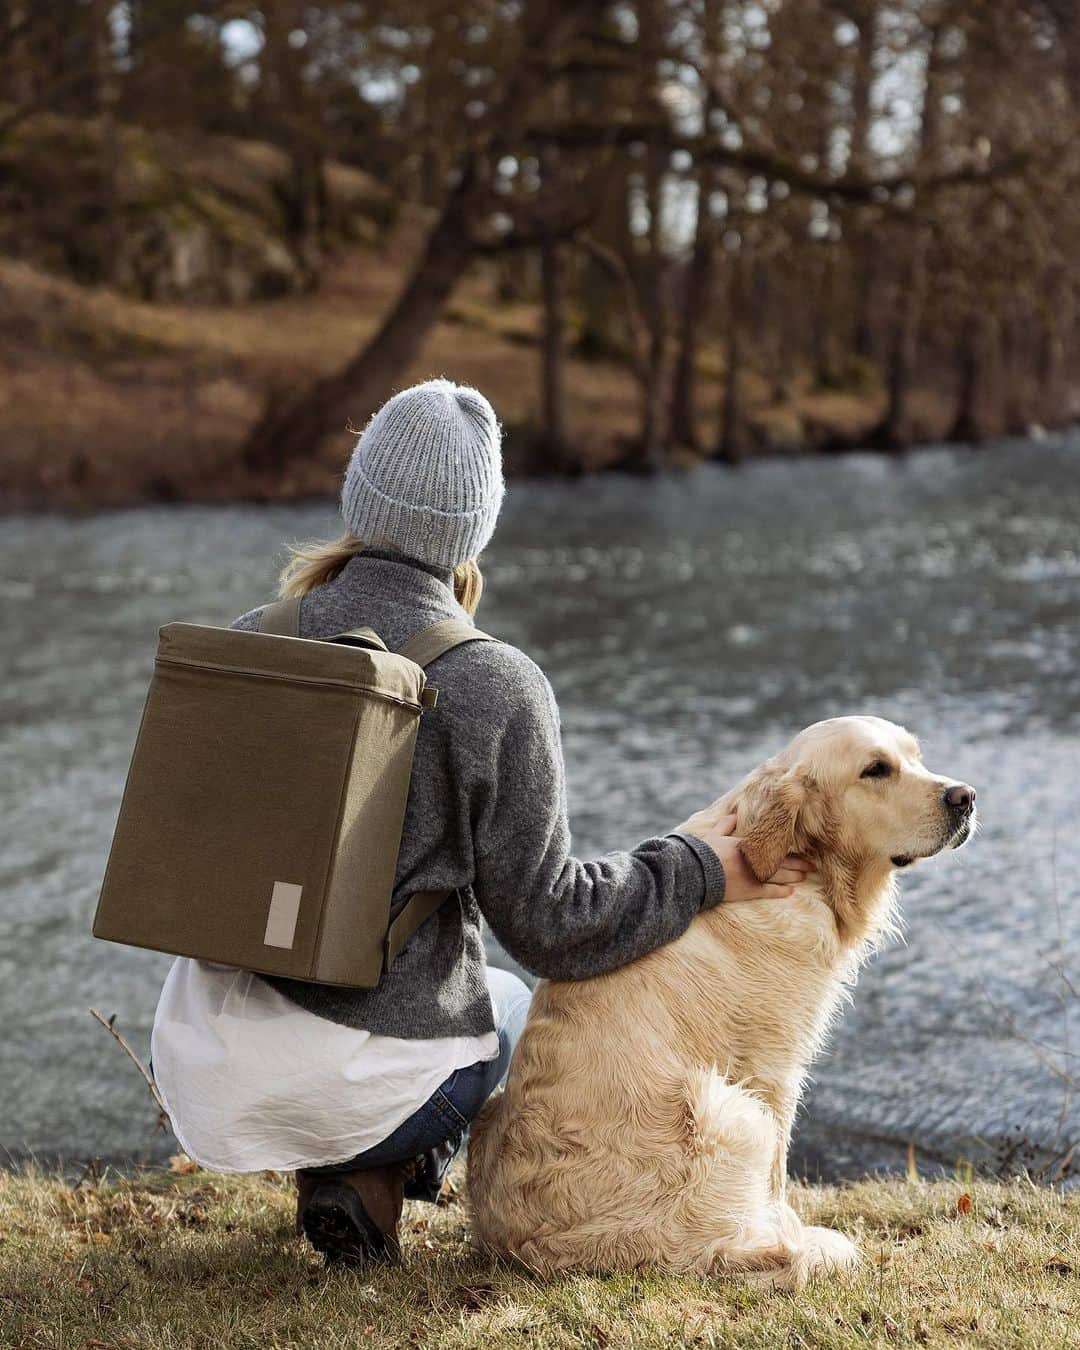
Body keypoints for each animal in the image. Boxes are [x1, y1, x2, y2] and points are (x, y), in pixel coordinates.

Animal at [467, 718, 972, 1285]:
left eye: (916, 757)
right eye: (875, 770)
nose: (966, 797)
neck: (799, 864)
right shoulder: (773, 1069)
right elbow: (777, 1176)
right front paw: (790, 1229)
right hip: (724, 1107)